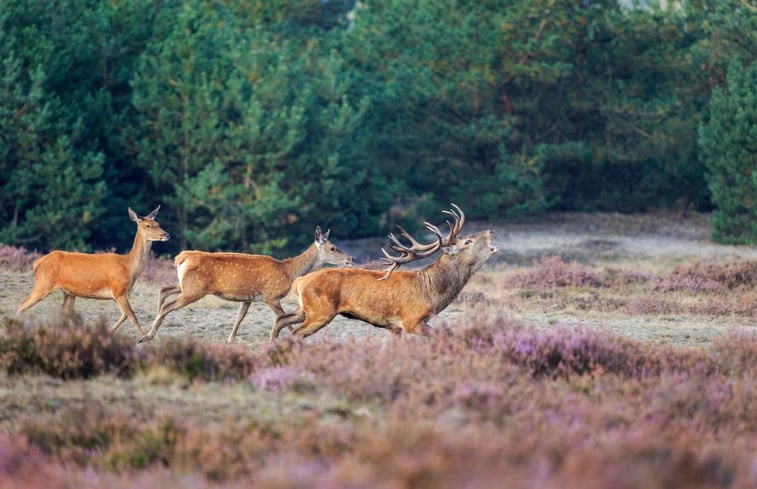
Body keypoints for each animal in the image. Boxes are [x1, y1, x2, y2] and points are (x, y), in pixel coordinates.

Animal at [16, 205, 171, 336]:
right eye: (148, 225)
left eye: (158, 223)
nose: (166, 235)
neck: (128, 267)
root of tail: (38, 262)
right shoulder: (118, 291)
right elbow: (133, 317)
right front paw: (145, 338)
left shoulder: (118, 295)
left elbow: (124, 316)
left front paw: (108, 332)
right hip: (43, 284)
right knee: (22, 305)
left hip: (68, 293)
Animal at [140, 226, 354, 344]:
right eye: (333, 247)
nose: (351, 258)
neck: (288, 271)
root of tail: (181, 257)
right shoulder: (271, 296)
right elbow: (284, 321)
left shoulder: (248, 298)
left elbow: (239, 317)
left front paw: (230, 340)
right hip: (193, 290)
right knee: (168, 304)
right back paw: (146, 336)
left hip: (186, 286)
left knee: (164, 290)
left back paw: (146, 330)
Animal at [270, 203, 496, 340]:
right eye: (468, 241)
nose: (491, 230)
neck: (432, 292)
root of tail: (299, 281)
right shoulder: (412, 321)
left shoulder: (394, 328)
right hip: (320, 312)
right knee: (295, 333)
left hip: (305, 309)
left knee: (281, 320)